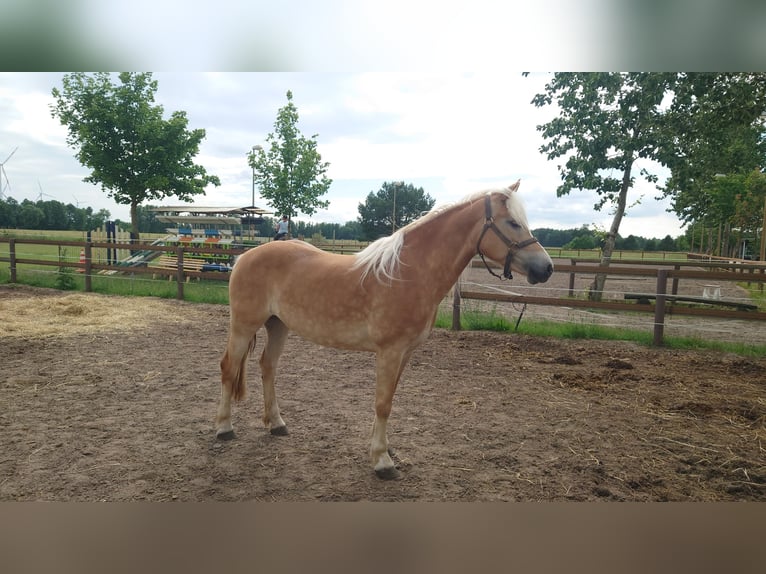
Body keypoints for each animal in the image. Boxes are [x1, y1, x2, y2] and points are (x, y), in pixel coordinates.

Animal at [219, 182, 556, 480]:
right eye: (512, 223)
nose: (547, 268)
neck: (409, 273)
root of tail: (245, 257)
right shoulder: (390, 351)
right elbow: (382, 403)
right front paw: (382, 462)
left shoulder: (404, 353)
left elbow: (389, 399)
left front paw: (383, 450)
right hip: (243, 325)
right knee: (228, 368)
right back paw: (224, 428)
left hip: (279, 325)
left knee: (268, 366)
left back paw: (276, 424)